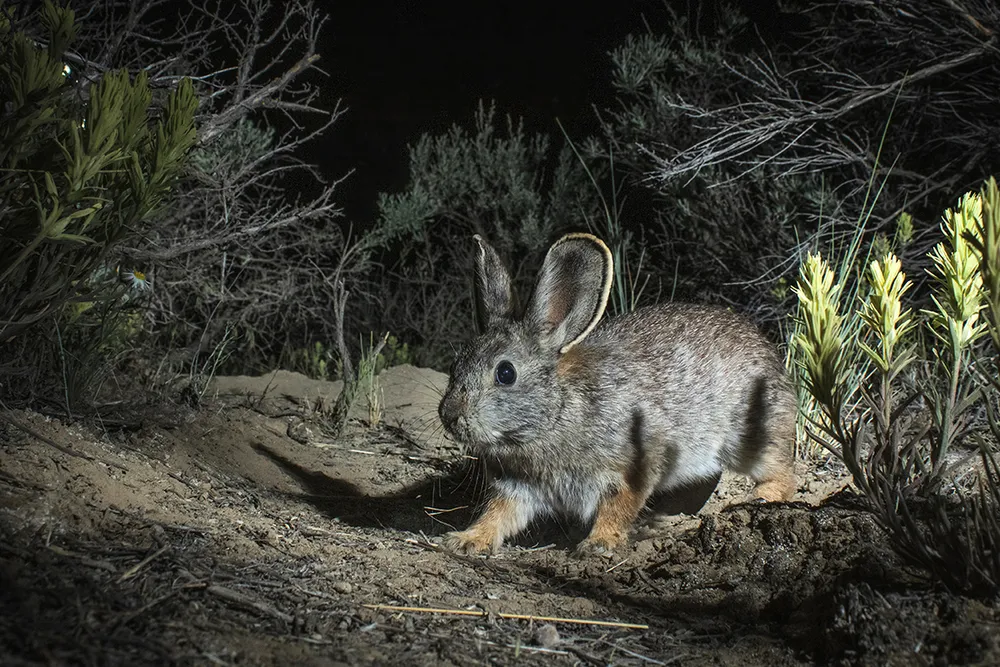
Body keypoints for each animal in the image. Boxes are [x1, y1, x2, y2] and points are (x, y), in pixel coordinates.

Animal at [437, 232, 797, 556]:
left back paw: (759, 497)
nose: (449, 415)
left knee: (782, 472)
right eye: (456, 364)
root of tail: (769, 353)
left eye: (506, 373)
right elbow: (499, 514)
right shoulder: (518, 486)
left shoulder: (631, 468)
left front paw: (600, 543)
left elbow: (618, 507)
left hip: (751, 438)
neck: (557, 415)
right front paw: (467, 540)